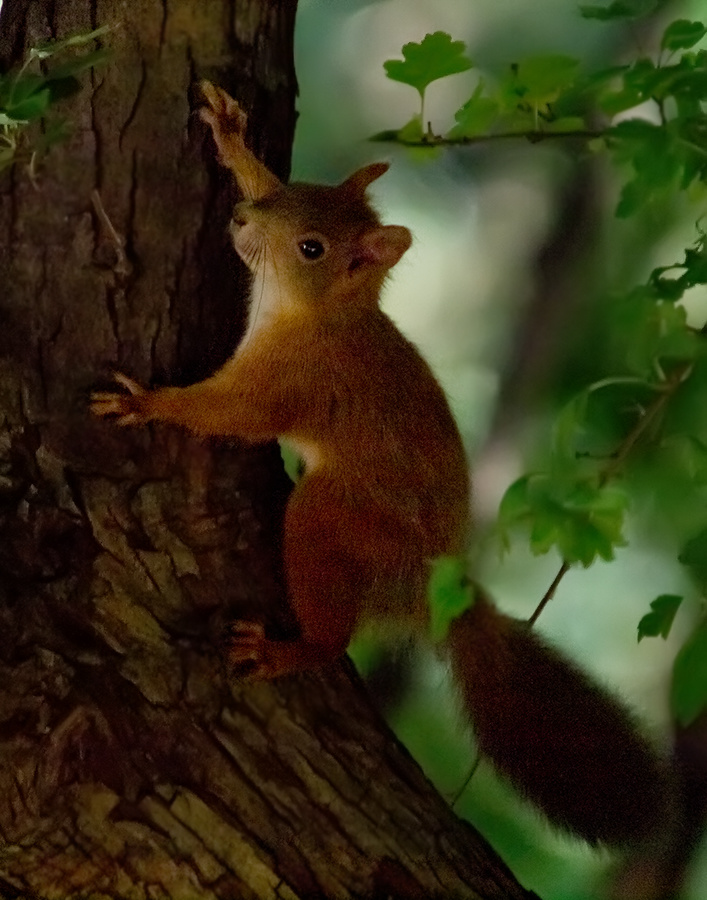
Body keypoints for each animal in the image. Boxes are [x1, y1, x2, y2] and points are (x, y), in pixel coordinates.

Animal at [91, 81, 672, 848]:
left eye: (311, 249)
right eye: (297, 192)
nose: (241, 217)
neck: (315, 313)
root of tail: (435, 586)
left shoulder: (291, 385)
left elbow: (229, 415)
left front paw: (149, 402)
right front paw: (233, 137)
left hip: (338, 520)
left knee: (331, 613)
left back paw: (292, 652)